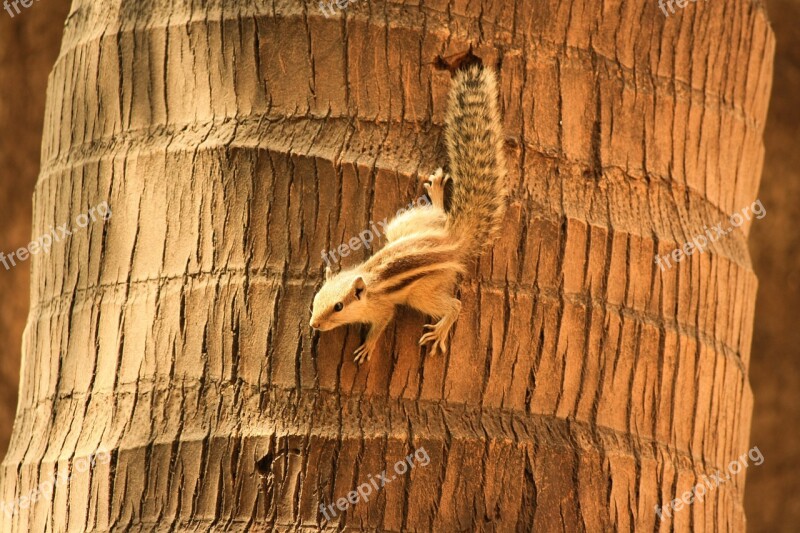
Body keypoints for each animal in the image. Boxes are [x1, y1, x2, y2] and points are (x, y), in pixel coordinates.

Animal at [308, 61, 506, 362]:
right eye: (317, 297)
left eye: (339, 306)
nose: (314, 324)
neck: (369, 284)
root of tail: (453, 241)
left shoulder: (382, 309)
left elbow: (381, 323)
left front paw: (368, 347)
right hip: (401, 228)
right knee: (439, 216)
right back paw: (435, 194)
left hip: (423, 292)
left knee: (455, 305)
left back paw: (440, 330)